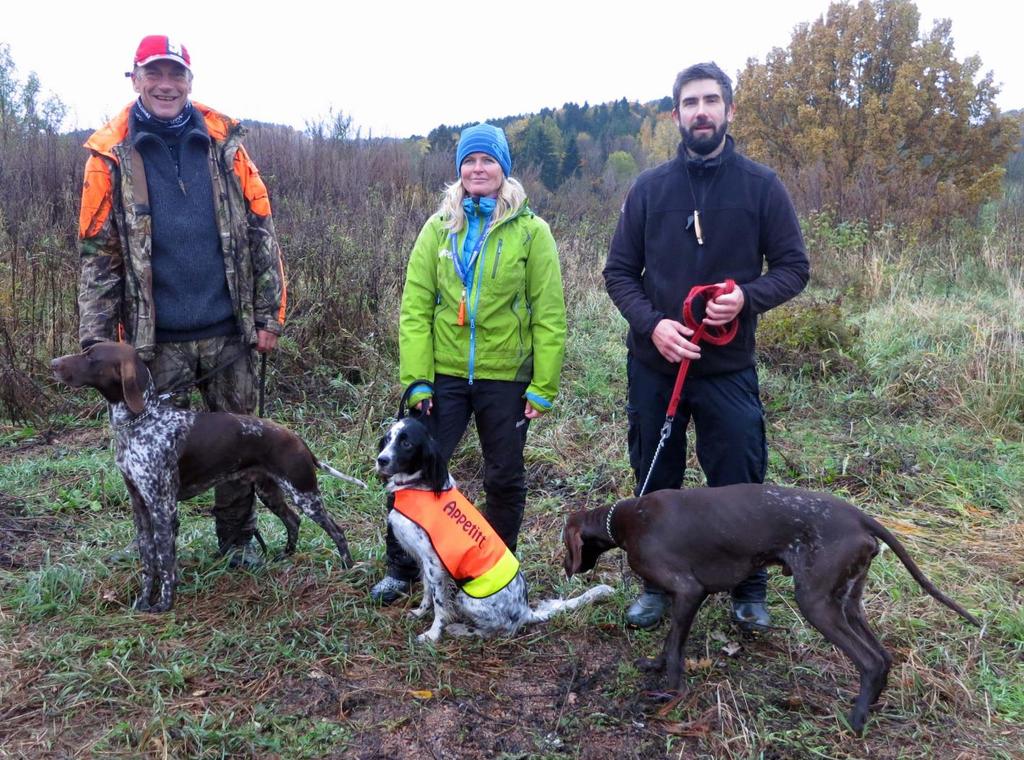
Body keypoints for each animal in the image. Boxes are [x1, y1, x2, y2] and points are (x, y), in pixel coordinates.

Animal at [52, 344, 356, 614]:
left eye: (91, 356)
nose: (54, 363)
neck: (141, 421)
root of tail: (297, 439)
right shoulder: (140, 506)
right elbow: (148, 561)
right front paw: (142, 602)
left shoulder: (163, 507)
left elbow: (165, 561)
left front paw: (164, 604)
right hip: (270, 491)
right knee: (293, 520)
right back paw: (285, 555)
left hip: (304, 493)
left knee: (337, 531)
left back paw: (349, 568)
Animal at [565, 485, 978, 733]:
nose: (568, 568)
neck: (625, 521)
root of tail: (859, 516)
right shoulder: (685, 596)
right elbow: (667, 645)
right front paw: (654, 666)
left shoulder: (689, 591)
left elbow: (675, 648)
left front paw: (671, 693)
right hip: (846, 602)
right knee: (884, 656)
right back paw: (869, 706)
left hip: (816, 604)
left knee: (872, 661)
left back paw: (856, 720)